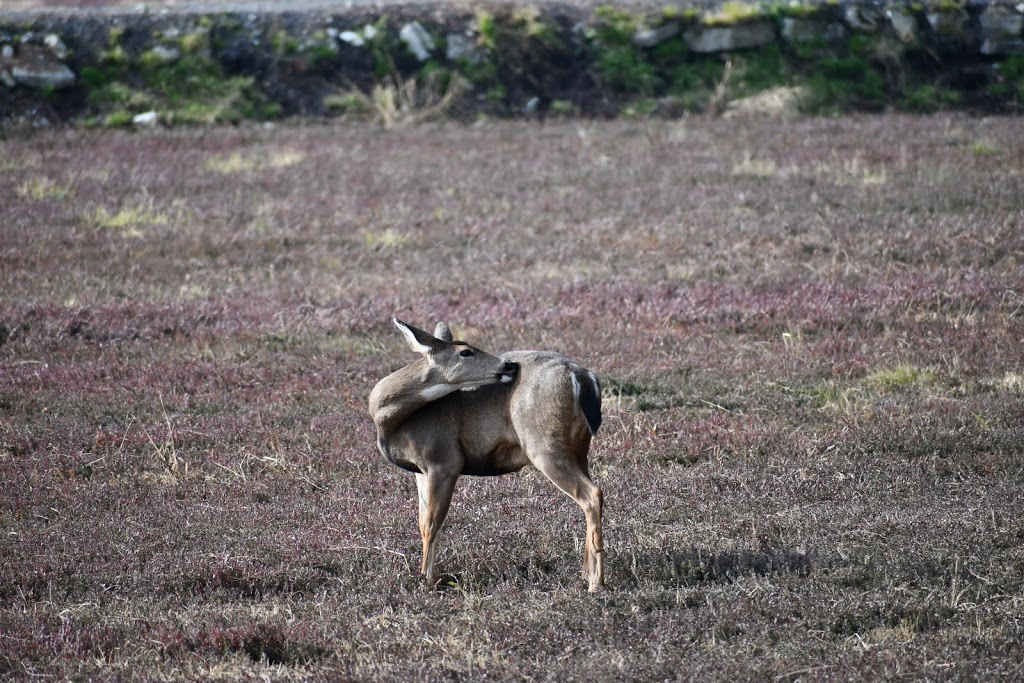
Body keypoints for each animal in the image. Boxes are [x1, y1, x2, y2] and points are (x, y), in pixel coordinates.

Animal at [370, 321, 602, 593]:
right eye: (465, 352)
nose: (509, 365)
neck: (391, 422)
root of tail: (582, 376)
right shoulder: (420, 470)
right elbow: (421, 522)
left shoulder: (443, 460)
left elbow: (431, 524)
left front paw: (427, 581)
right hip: (579, 449)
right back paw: (586, 573)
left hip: (544, 445)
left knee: (592, 494)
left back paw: (596, 583)